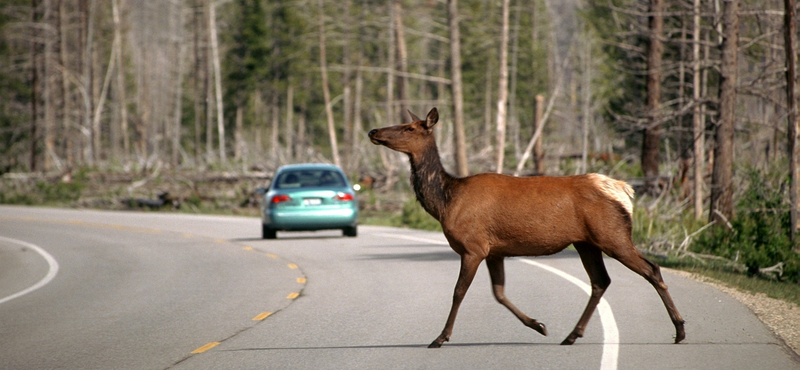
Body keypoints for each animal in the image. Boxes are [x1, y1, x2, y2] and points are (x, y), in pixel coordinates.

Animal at [366, 108, 684, 348]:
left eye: (409, 128)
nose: (373, 132)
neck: (446, 201)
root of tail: (623, 190)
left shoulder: (472, 247)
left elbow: (458, 292)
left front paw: (440, 337)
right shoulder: (494, 251)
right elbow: (499, 293)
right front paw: (538, 324)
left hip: (612, 234)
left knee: (651, 269)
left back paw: (680, 329)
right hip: (586, 242)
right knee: (600, 281)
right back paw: (572, 334)